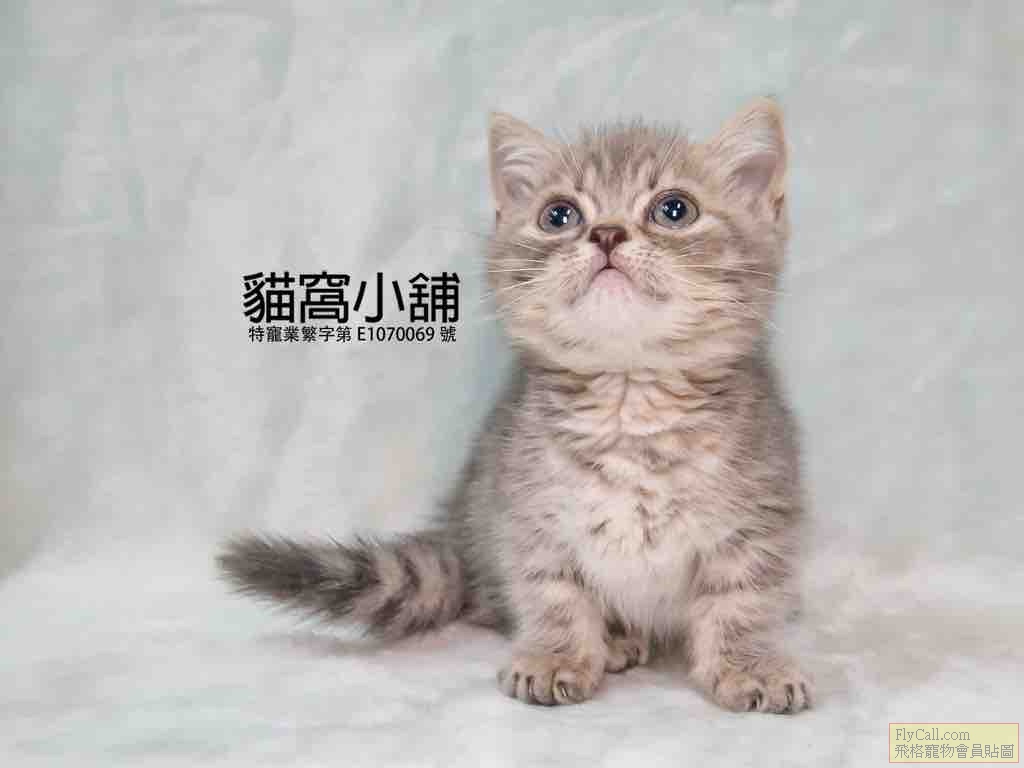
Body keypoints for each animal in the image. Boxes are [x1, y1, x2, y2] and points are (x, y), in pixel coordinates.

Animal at [218, 98, 814, 713]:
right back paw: (617, 640)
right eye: (559, 215)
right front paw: (557, 655)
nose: (606, 233)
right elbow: (553, 594)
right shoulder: (525, 515)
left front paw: (752, 665)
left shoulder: (759, 517)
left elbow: (744, 599)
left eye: (675, 209)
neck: (628, 401)